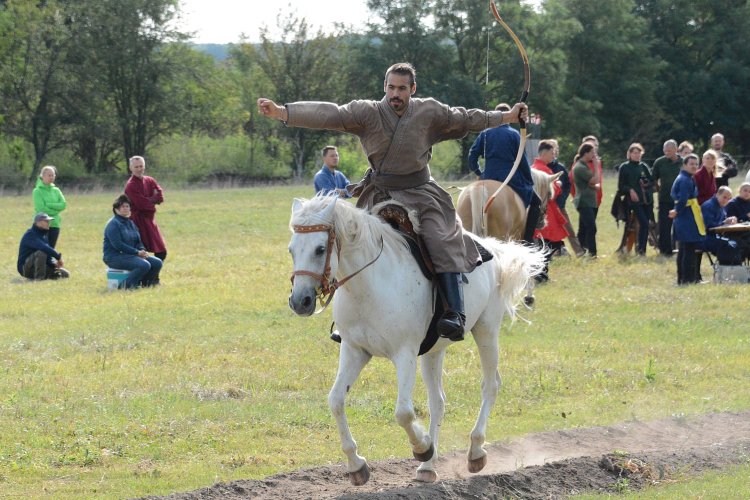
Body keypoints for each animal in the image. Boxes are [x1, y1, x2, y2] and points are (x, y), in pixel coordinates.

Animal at [290, 197, 548, 486]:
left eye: (320, 249)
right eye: (291, 250)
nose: (299, 302)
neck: (368, 286)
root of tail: (490, 247)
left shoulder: (404, 354)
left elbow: (403, 413)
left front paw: (422, 446)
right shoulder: (354, 351)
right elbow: (336, 401)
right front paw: (356, 465)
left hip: (486, 331)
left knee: (490, 385)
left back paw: (475, 450)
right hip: (434, 352)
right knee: (438, 402)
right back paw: (428, 468)